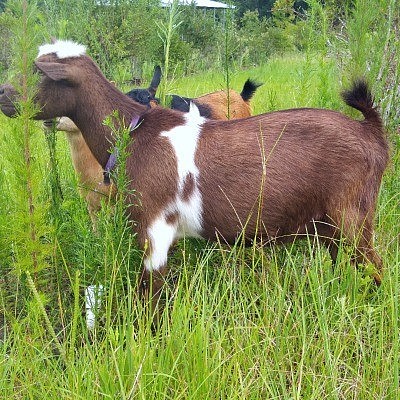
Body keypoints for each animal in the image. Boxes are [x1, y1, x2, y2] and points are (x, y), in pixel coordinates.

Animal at [0, 41, 388, 306]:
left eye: (37, 71)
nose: (2, 93)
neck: (134, 132)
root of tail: (370, 132)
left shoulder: (154, 228)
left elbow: (150, 295)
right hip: (330, 226)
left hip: (353, 218)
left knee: (376, 268)